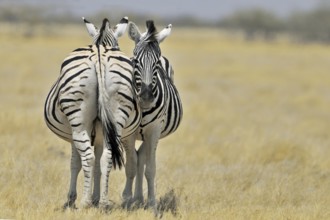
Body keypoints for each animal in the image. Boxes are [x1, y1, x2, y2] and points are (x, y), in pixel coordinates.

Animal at [43, 17, 142, 210]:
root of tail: (99, 53)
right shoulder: (101, 134)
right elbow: (98, 164)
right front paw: (96, 197)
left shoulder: (76, 135)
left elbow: (76, 163)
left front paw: (72, 199)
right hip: (118, 113)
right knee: (107, 157)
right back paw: (102, 203)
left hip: (78, 120)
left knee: (87, 158)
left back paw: (84, 202)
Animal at [124, 20, 184, 210]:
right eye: (135, 60)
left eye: (157, 62)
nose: (146, 96)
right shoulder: (128, 134)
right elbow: (130, 166)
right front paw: (126, 200)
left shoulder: (154, 130)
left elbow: (150, 168)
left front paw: (151, 203)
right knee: (137, 158)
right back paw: (134, 198)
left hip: (152, 134)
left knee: (142, 157)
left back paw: (139, 198)